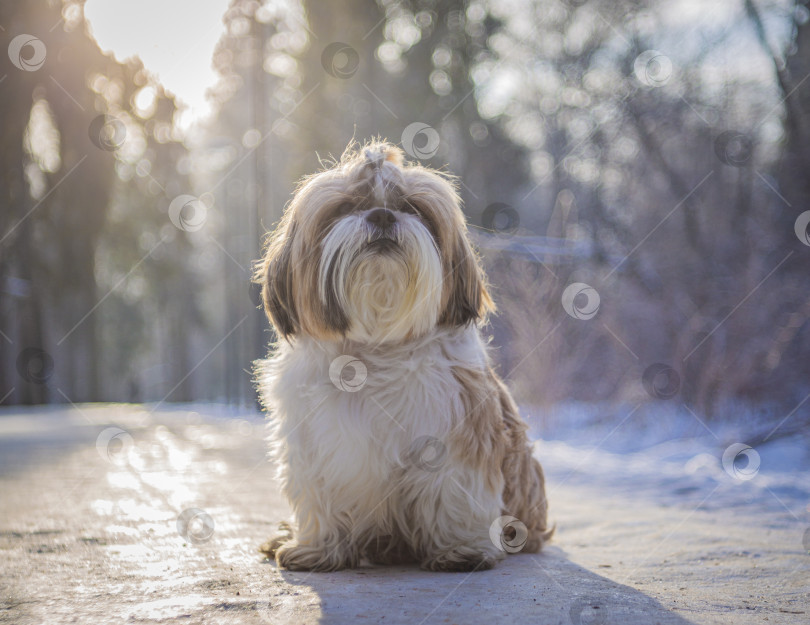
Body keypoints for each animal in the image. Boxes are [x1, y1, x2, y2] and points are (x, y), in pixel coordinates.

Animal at [256, 141, 552, 572]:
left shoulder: (456, 433)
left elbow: (454, 489)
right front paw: (318, 547)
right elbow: (317, 494)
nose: (382, 215)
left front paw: (460, 548)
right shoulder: (313, 442)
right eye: (346, 207)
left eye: (412, 208)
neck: (375, 347)